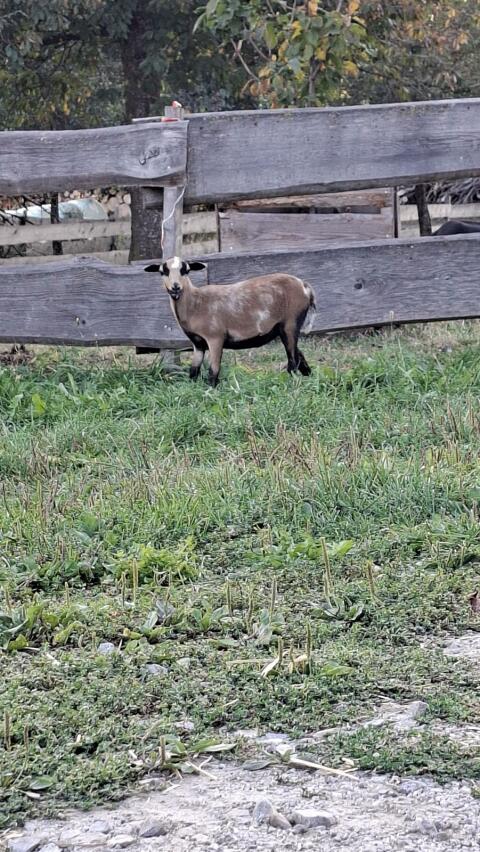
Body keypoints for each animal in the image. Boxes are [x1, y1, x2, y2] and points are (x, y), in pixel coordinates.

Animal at [144, 256, 316, 386]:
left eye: (185, 270)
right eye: (162, 272)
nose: (175, 287)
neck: (196, 303)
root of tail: (305, 286)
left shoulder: (215, 338)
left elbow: (213, 371)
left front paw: (210, 390)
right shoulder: (198, 343)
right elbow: (193, 371)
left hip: (291, 322)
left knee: (293, 360)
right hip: (282, 328)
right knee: (299, 356)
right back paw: (309, 378)